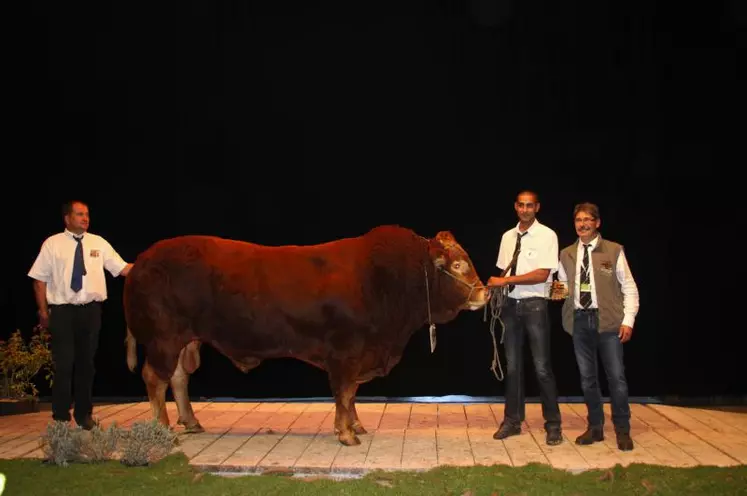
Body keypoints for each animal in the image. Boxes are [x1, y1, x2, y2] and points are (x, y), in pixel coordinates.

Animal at [124, 225, 490, 446]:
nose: (485, 293)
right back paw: (162, 428)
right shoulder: (345, 353)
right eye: (458, 265)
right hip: (163, 339)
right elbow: (344, 392)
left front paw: (355, 426)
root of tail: (140, 262)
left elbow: (351, 395)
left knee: (178, 379)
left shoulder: (358, 355)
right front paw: (346, 434)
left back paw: (191, 422)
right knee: (154, 378)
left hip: (185, 340)